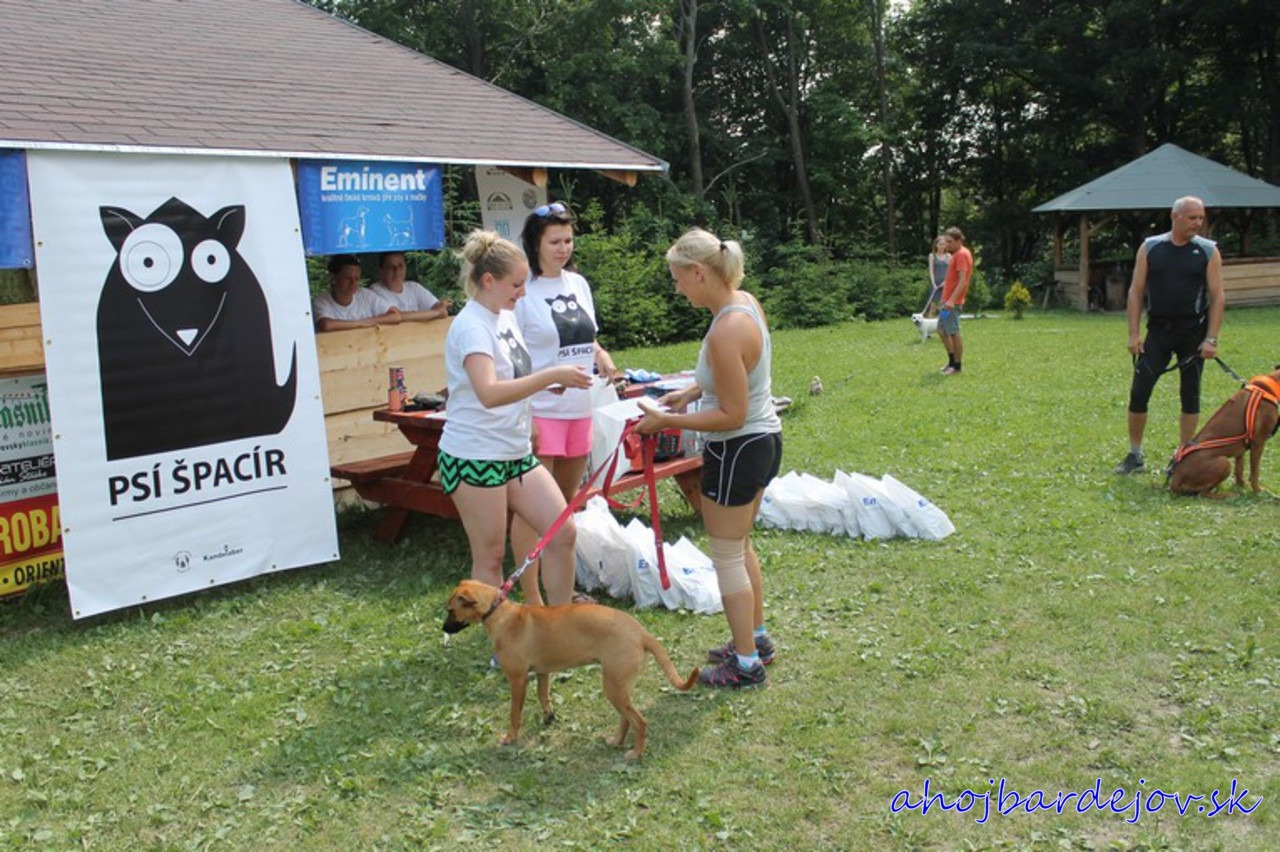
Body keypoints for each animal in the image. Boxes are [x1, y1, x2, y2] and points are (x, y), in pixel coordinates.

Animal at [442, 580, 698, 759]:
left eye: (451, 611)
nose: (444, 629)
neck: (500, 613)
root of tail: (642, 633)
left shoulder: (517, 679)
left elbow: (515, 714)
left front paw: (510, 737)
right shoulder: (542, 672)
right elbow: (543, 695)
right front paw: (548, 716)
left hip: (614, 688)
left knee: (640, 722)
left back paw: (636, 753)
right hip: (619, 687)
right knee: (627, 719)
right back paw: (617, 741)